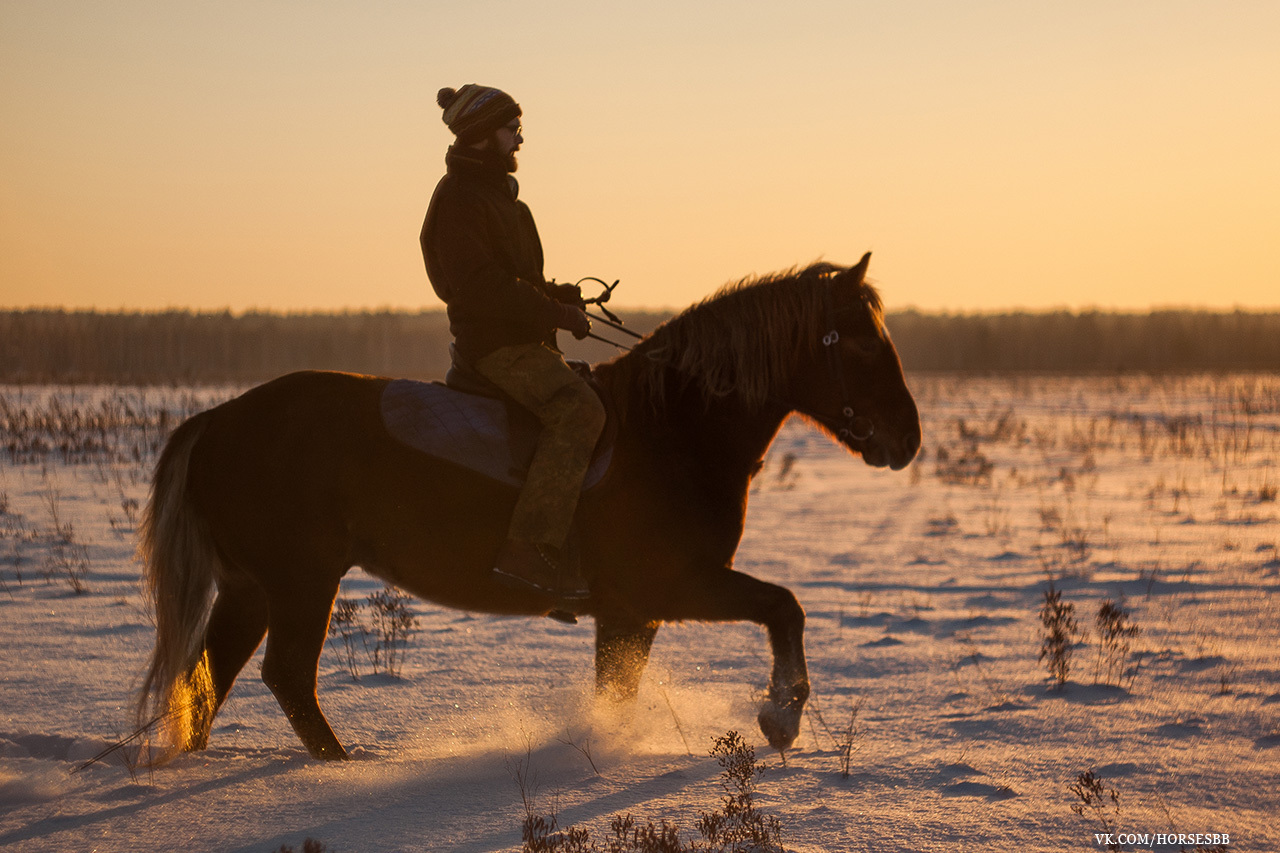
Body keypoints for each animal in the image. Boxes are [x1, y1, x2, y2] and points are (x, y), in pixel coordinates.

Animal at [137, 251, 921, 758]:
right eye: (859, 342)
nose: (907, 437)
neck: (671, 429)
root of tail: (218, 419)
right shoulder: (668, 586)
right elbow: (784, 606)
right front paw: (780, 716)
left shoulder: (630, 612)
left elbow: (618, 690)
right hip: (300, 581)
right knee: (286, 677)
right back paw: (339, 767)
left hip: (251, 586)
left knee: (212, 674)